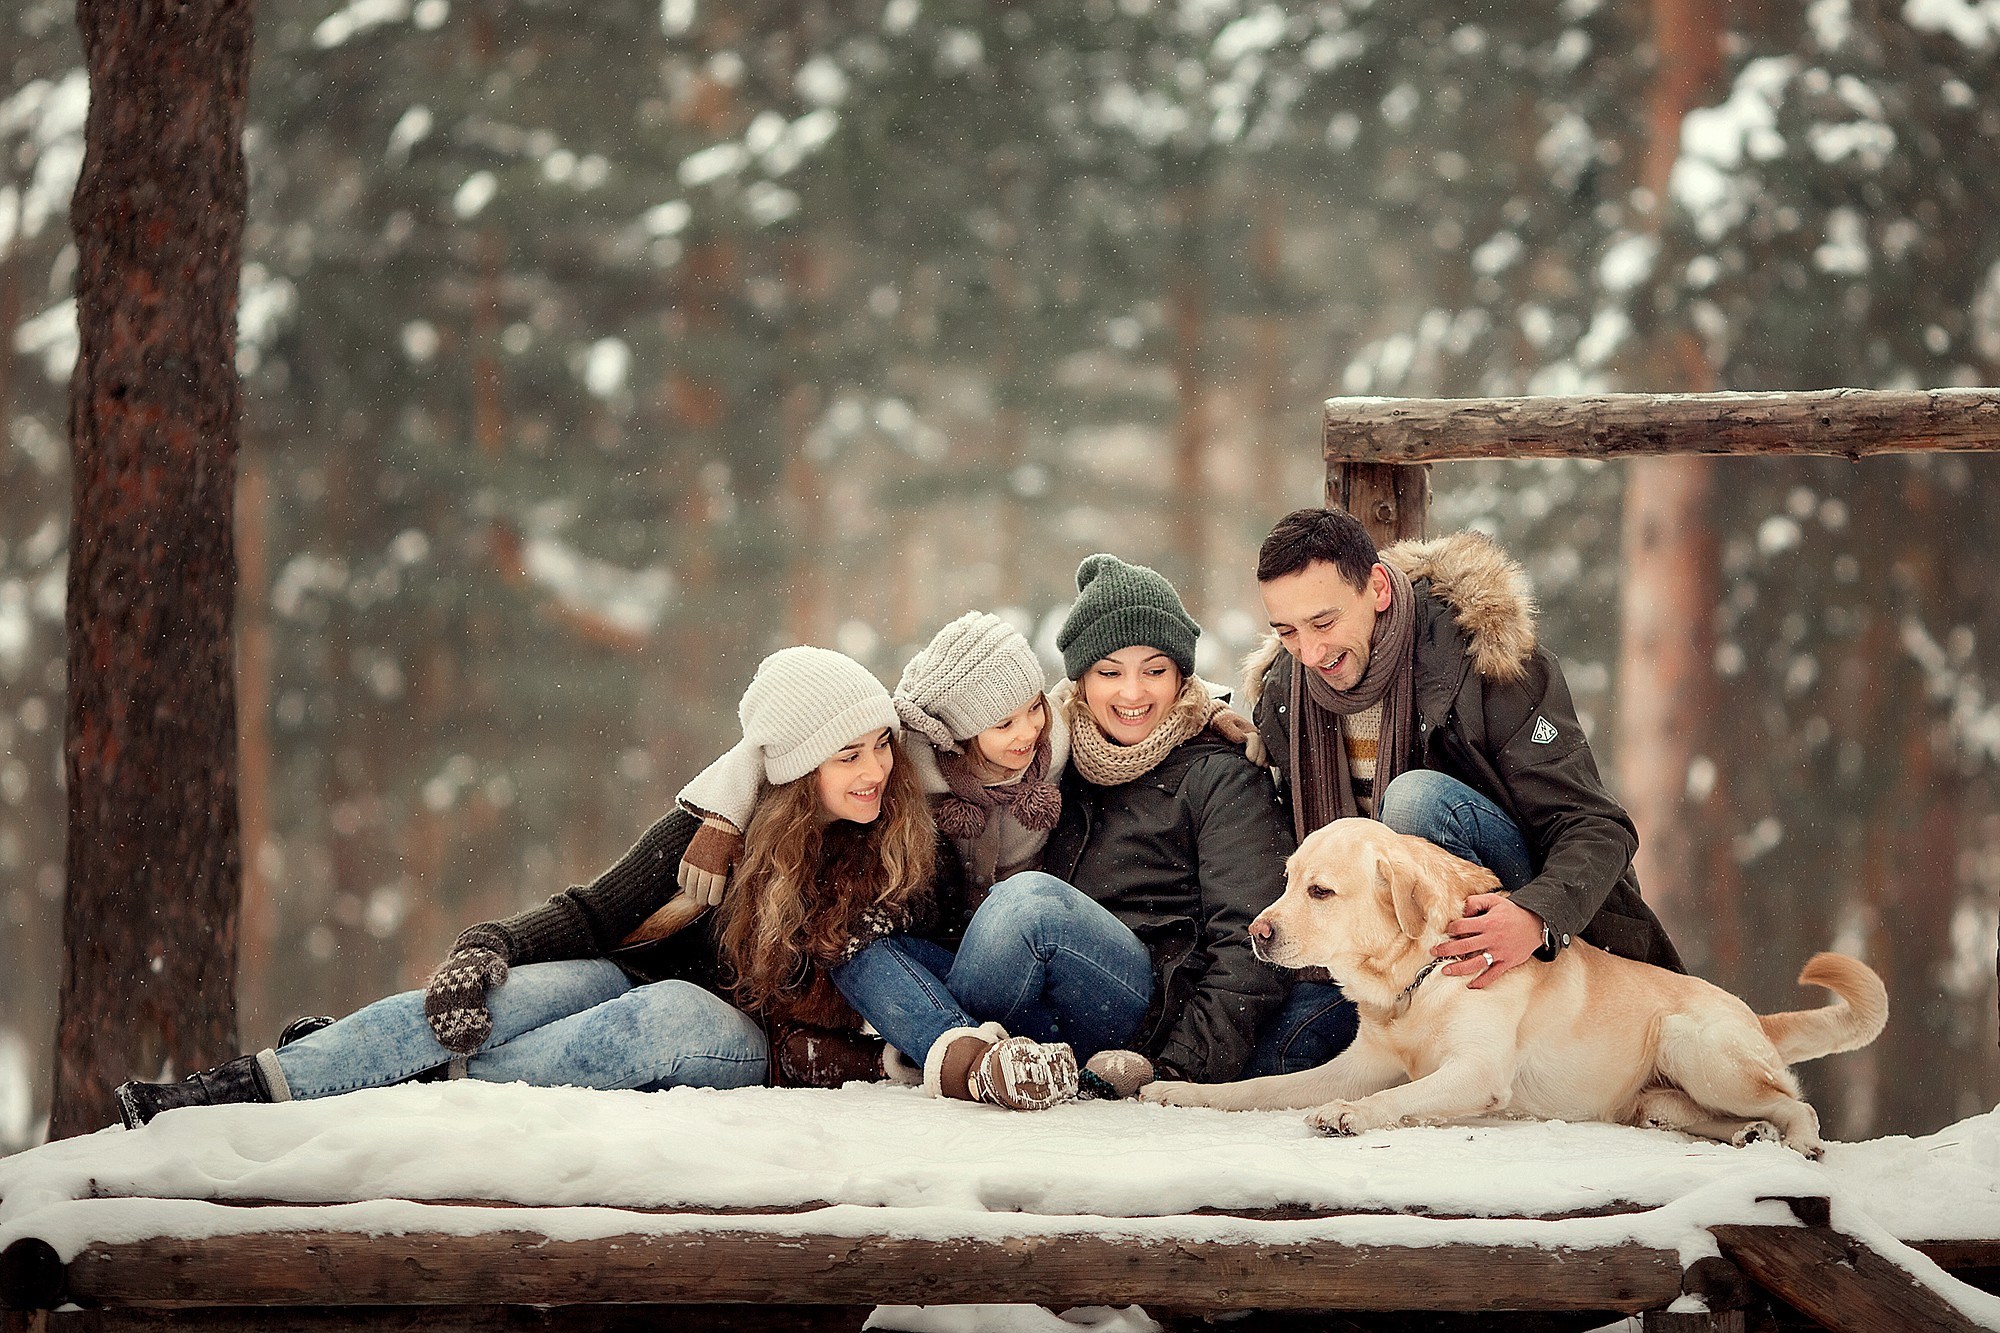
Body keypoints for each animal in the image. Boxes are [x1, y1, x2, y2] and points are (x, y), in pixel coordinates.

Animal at [1152, 808, 1880, 1152]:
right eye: (1286, 879)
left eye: (1321, 891)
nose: (1257, 932)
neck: (1417, 982)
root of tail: (1757, 1016)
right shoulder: (1357, 1062)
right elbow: (1261, 1088)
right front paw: (1181, 1093)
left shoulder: (1476, 1071)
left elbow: (1396, 1096)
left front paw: (1348, 1115)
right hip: (1659, 1096)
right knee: (1710, 1112)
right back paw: (1747, 1135)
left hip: (1692, 1043)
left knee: (1796, 1105)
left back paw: (1799, 1145)